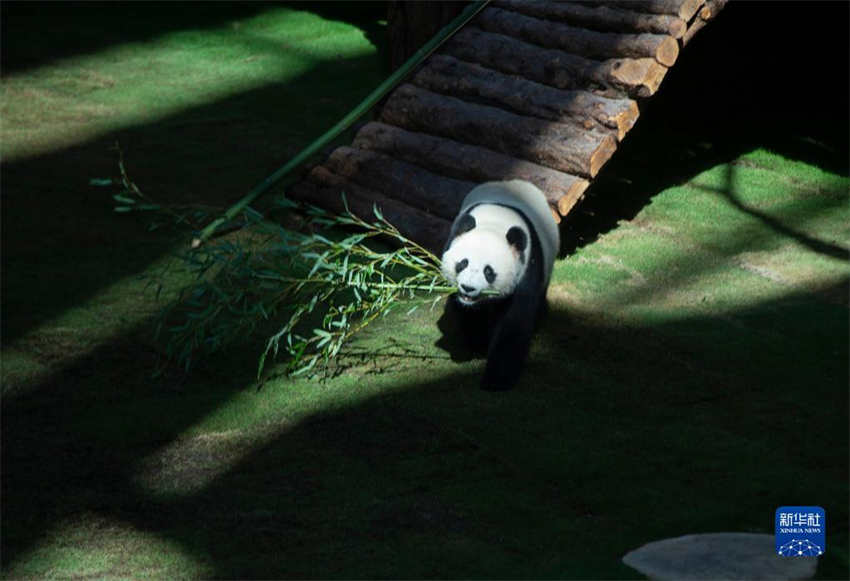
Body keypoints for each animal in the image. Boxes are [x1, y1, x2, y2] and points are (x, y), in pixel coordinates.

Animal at [441, 180, 560, 391]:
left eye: (488, 271)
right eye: (463, 263)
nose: (468, 288)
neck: (494, 223)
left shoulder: (527, 266)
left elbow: (514, 323)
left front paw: (496, 379)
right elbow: (470, 315)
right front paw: (477, 346)